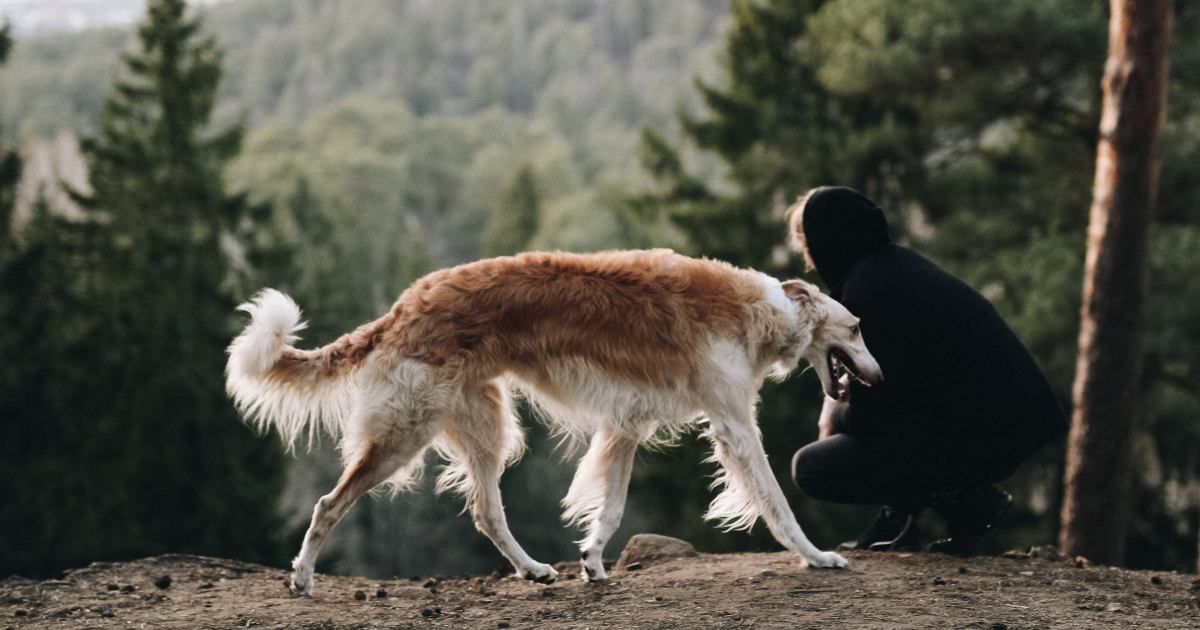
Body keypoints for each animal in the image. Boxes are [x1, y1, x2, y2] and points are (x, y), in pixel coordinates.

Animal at [225, 248, 883, 592]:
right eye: (856, 328)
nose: (879, 378)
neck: (764, 310)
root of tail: (401, 307)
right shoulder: (734, 426)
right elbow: (778, 503)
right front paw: (817, 557)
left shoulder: (626, 428)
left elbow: (609, 510)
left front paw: (591, 562)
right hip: (403, 435)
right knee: (326, 504)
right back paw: (302, 577)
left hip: (486, 428)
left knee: (486, 512)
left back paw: (534, 569)